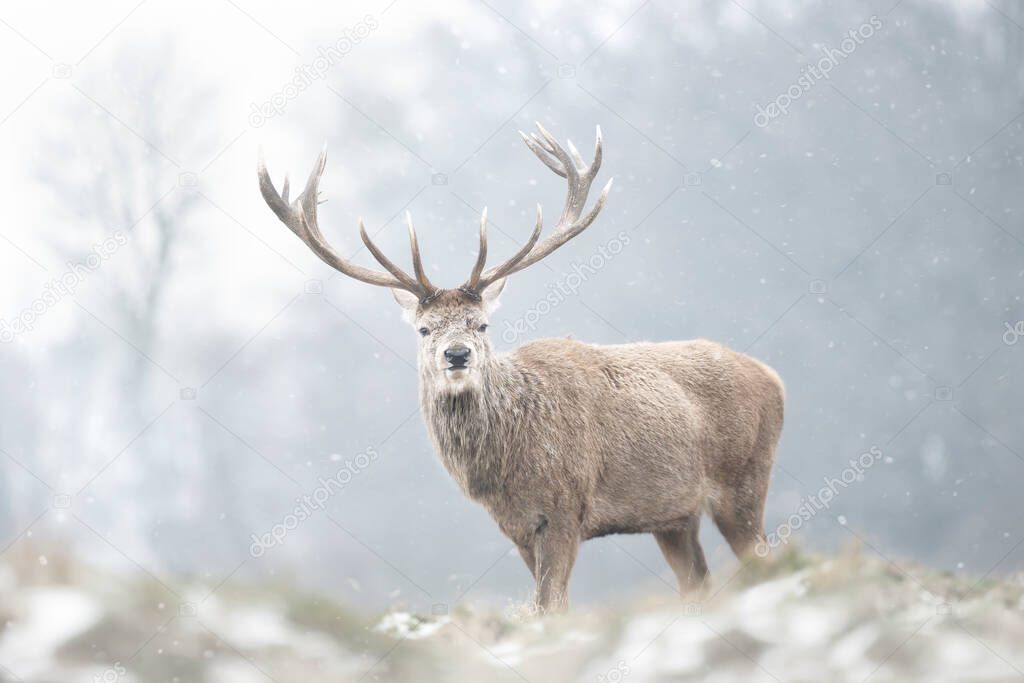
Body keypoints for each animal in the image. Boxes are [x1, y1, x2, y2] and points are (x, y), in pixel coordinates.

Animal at [256, 124, 782, 614]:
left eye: (482, 323)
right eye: (425, 329)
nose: (457, 354)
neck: (506, 464)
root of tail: (773, 378)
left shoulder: (567, 506)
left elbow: (551, 606)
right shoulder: (515, 526)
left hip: (744, 478)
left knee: (762, 557)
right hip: (674, 515)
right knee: (698, 581)